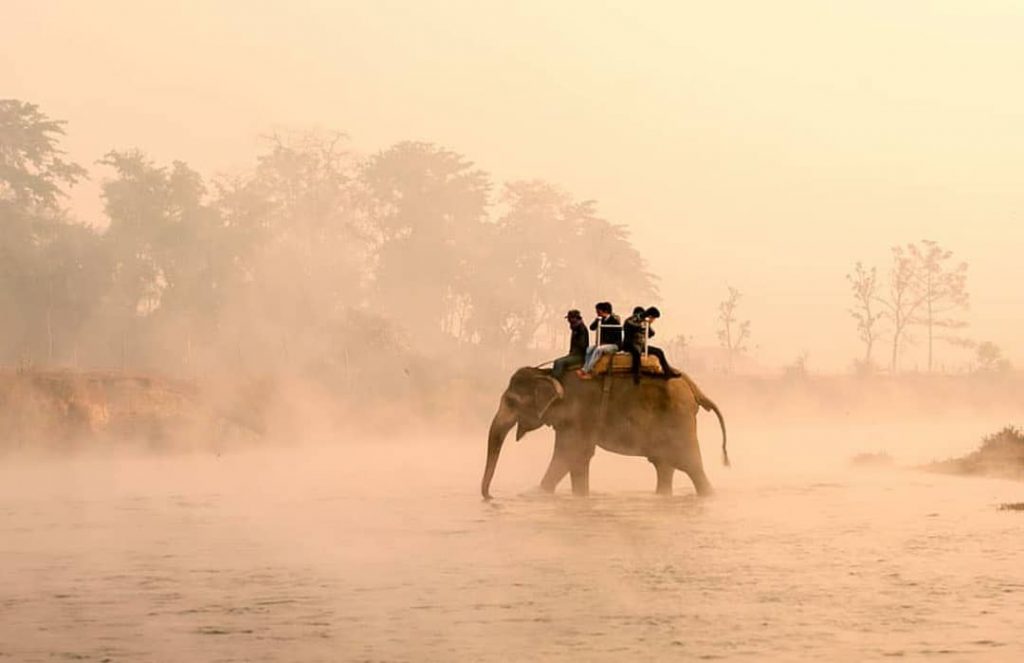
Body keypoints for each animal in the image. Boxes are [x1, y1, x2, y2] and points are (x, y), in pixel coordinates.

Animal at [481, 364, 729, 500]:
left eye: (511, 402)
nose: (489, 496)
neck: (549, 373)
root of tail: (695, 389)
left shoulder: (580, 410)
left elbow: (570, 453)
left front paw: (533, 494)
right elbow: (578, 458)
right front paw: (580, 497)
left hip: (678, 421)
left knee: (692, 467)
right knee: (664, 466)